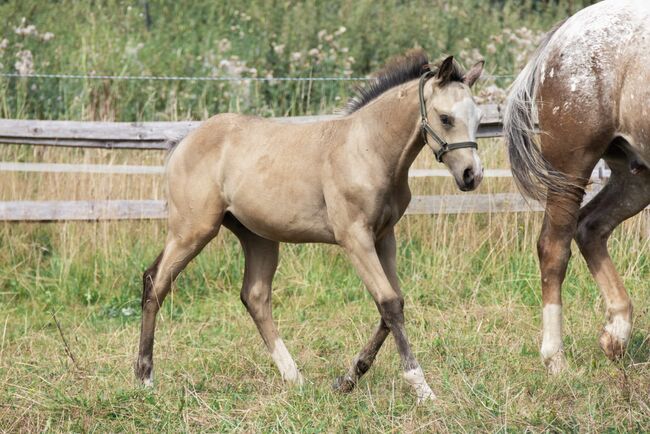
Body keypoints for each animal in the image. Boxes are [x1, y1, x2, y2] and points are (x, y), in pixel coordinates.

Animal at [134, 51, 484, 404]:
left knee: (255, 296)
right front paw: (421, 387)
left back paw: (294, 378)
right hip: (192, 230)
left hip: (257, 236)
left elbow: (392, 303)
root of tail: (183, 142)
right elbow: (389, 303)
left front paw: (348, 378)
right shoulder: (355, 238)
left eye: (479, 119)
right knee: (155, 282)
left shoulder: (385, 237)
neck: (368, 149)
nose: (472, 175)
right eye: (445, 118)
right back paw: (145, 377)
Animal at [504, 0, 644, 372]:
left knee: (591, 227)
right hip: (570, 170)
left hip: (635, 175)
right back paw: (556, 359)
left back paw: (615, 335)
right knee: (555, 247)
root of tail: (562, 33)